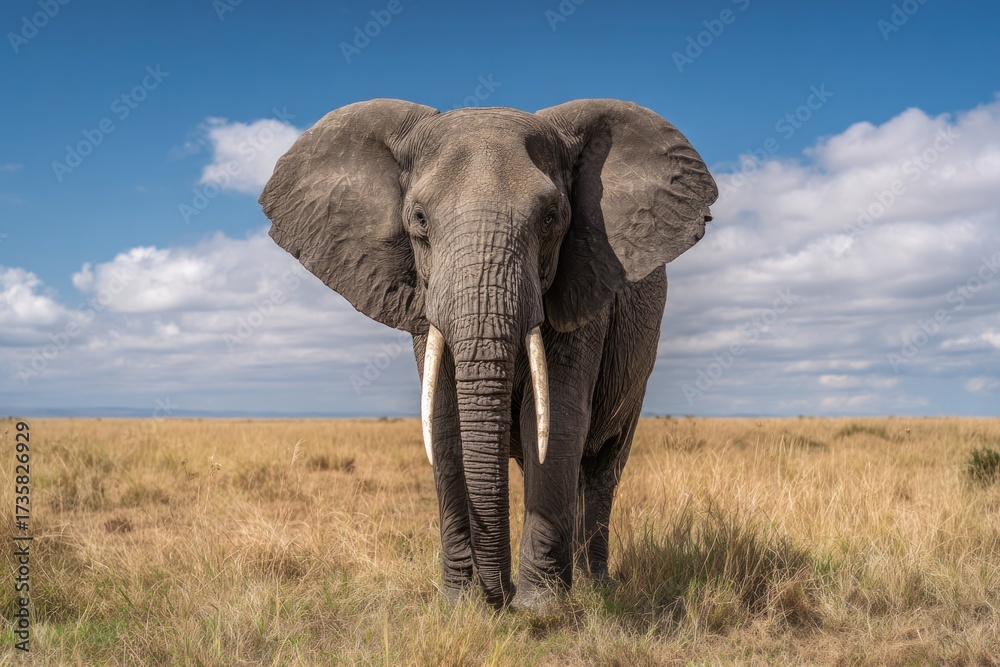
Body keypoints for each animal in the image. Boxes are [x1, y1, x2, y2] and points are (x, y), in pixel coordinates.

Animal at [259, 98, 717, 610]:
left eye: (551, 217)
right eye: (419, 219)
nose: (503, 595)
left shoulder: (585, 288)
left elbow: (554, 419)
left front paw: (540, 608)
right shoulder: (426, 304)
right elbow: (443, 424)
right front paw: (461, 604)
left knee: (602, 464)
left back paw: (594, 585)